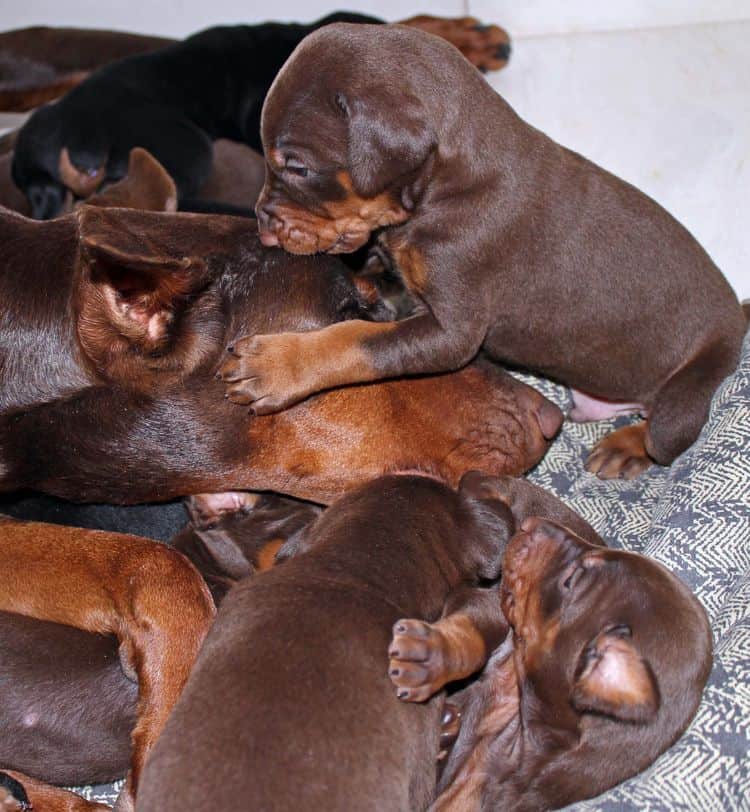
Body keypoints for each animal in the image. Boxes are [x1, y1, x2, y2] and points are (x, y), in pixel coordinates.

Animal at [228, 23, 748, 482]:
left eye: (297, 166)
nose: (264, 227)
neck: (446, 184)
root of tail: (738, 317)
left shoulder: (453, 330)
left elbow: (357, 339)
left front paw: (278, 365)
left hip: (694, 383)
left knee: (667, 434)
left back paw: (628, 445)